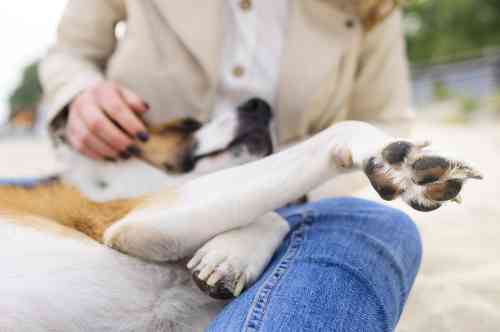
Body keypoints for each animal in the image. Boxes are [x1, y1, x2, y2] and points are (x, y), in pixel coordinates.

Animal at [0, 98, 484, 330]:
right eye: (186, 125)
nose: (260, 105)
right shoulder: (137, 221)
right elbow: (281, 206)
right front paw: (393, 158)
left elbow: (272, 215)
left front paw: (228, 256)